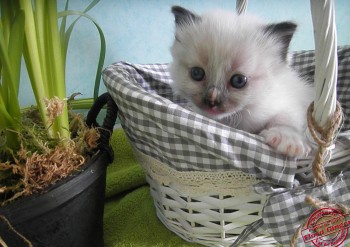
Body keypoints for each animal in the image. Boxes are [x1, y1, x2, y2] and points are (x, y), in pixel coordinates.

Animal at [168, 6, 314, 158]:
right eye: (197, 73)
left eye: (238, 81)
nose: (211, 101)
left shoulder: (288, 104)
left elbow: (286, 119)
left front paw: (288, 140)